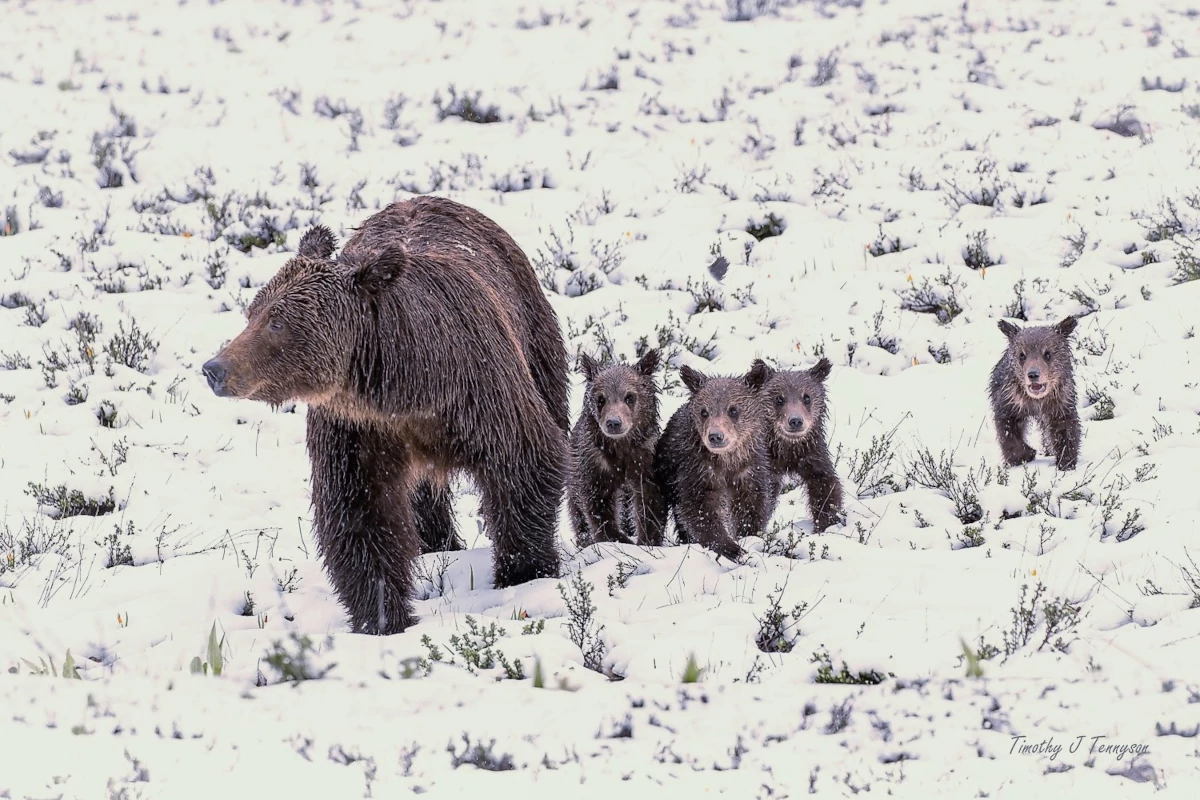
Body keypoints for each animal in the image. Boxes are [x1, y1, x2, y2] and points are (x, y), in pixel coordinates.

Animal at [200, 195, 570, 635]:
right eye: (252, 312)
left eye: (277, 321)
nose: (215, 368)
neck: (404, 388)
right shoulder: (357, 429)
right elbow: (361, 511)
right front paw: (382, 615)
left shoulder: (479, 390)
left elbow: (523, 461)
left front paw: (523, 573)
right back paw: (436, 542)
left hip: (533, 333)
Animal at [566, 348, 668, 549]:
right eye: (601, 399)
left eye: (629, 397)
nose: (614, 423)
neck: (621, 447)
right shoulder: (595, 463)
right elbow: (597, 503)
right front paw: (618, 538)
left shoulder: (645, 458)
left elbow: (650, 500)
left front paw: (647, 540)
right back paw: (584, 538)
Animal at [653, 361, 774, 562]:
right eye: (704, 412)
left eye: (733, 409)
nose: (716, 436)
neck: (727, 461)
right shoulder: (696, 471)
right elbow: (698, 510)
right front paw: (732, 548)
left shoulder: (748, 471)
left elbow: (752, 506)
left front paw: (747, 537)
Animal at [753, 357, 844, 532]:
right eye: (779, 398)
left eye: (806, 397)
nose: (795, 421)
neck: (787, 448)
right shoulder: (765, 462)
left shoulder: (811, 453)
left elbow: (825, 486)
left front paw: (826, 523)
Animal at [988, 315, 1080, 471]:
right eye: (1022, 355)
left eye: (1047, 353)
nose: (1033, 374)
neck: (1037, 401)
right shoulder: (1010, 401)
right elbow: (1008, 430)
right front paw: (1025, 454)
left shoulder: (1060, 402)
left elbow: (1065, 428)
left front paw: (1066, 461)